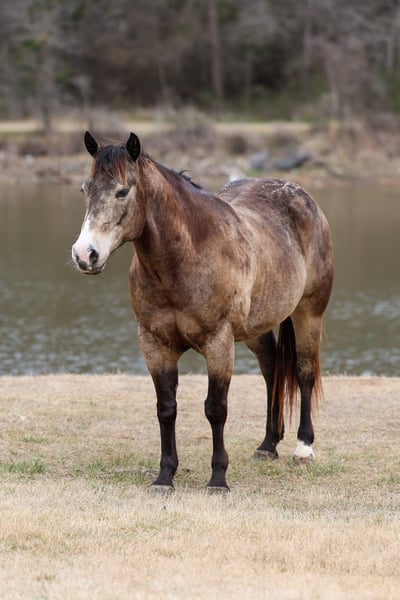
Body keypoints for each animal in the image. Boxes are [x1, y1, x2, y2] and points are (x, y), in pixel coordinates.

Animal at [72, 131, 333, 492]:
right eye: (85, 190)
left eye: (122, 191)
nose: (85, 254)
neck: (185, 258)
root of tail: (304, 198)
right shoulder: (155, 345)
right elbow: (166, 409)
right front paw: (165, 476)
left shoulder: (218, 344)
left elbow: (216, 409)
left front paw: (218, 479)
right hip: (256, 328)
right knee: (271, 371)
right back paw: (268, 445)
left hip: (309, 313)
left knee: (304, 372)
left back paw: (303, 448)